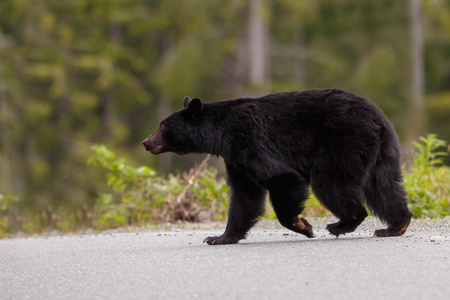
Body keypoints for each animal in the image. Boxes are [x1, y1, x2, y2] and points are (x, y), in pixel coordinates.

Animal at [143, 88, 412, 244]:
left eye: (162, 126)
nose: (146, 142)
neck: (220, 134)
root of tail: (377, 118)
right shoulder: (234, 159)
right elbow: (245, 196)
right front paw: (219, 237)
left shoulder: (246, 139)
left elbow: (283, 177)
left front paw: (303, 226)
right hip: (382, 150)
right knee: (384, 185)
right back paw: (395, 226)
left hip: (342, 140)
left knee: (330, 182)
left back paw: (340, 224)